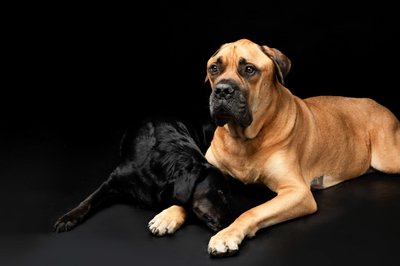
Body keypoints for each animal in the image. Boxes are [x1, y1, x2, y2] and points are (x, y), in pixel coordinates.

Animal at [205, 38, 398, 256]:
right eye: (214, 68)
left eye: (249, 69)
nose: (222, 90)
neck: (242, 139)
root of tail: (380, 105)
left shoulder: (298, 192)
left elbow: (252, 211)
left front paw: (227, 234)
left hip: (387, 159)